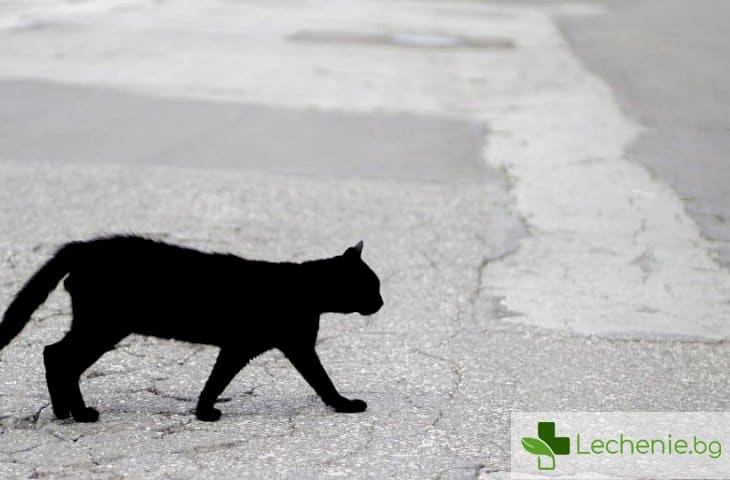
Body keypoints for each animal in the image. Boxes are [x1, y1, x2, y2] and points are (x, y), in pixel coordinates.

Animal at [0, 235, 384, 420]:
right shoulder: (266, 346)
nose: (381, 303)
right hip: (103, 326)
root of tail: (83, 247)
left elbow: (218, 379)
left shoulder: (264, 347)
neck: (305, 290)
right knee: (60, 357)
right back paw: (79, 414)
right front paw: (345, 405)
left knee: (54, 354)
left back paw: (63, 412)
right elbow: (320, 379)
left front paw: (202, 411)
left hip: (99, 326)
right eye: (372, 286)